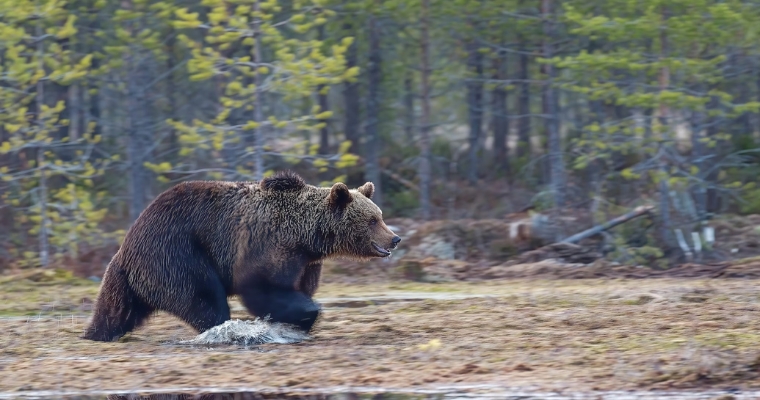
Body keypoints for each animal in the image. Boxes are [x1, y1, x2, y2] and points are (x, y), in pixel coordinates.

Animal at [82, 170, 400, 342]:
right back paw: (222, 327)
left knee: (116, 309)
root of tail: (128, 242)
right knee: (202, 296)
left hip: (135, 276)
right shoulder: (268, 243)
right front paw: (302, 314)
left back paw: (97, 332)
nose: (395, 238)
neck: (307, 237)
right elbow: (261, 286)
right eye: (373, 219)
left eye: (380, 215)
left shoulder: (306, 262)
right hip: (176, 253)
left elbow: (298, 287)